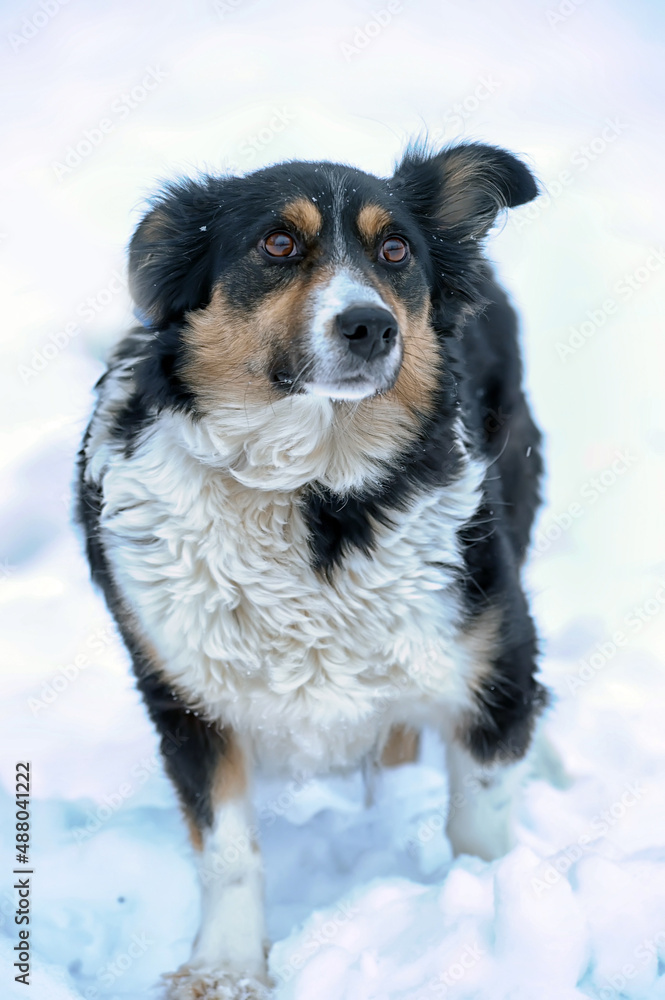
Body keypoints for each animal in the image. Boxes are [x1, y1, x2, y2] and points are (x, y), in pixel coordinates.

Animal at [76, 143, 544, 1000]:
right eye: (277, 243)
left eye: (394, 251)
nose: (370, 325)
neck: (313, 494)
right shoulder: (185, 696)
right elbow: (228, 850)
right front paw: (225, 967)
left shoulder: (494, 659)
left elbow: (480, 816)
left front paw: (482, 915)